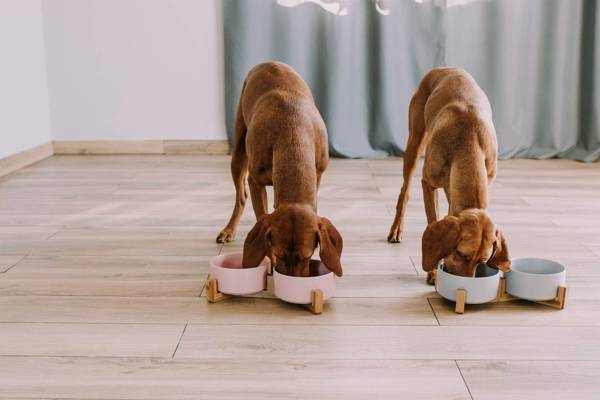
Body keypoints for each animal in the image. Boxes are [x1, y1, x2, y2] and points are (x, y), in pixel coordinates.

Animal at [218, 62, 344, 278]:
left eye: (308, 255)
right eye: (278, 253)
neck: (293, 136)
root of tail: (268, 62)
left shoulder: (318, 174)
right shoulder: (255, 182)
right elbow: (261, 214)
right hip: (238, 153)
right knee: (241, 196)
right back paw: (229, 230)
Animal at [386, 67, 508, 282]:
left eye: (482, 260)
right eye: (461, 254)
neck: (469, 140)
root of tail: (444, 69)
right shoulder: (428, 183)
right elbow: (432, 221)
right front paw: (434, 272)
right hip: (415, 142)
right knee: (405, 191)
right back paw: (396, 228)